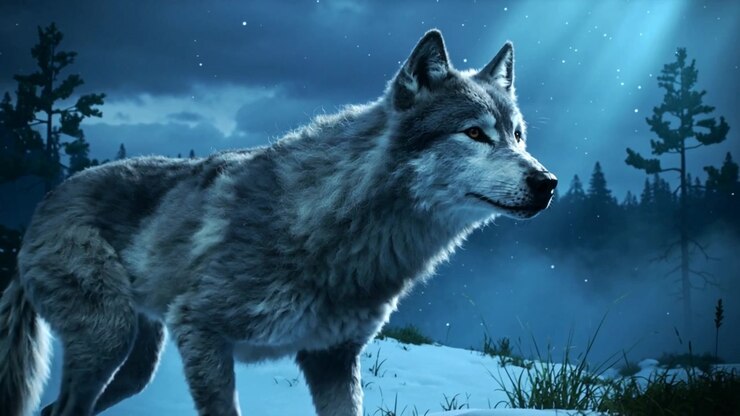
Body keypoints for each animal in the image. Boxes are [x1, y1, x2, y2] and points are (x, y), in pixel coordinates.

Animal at [0, 30, 556, 416]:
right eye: (475, 134)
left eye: (518, 136)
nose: (547, 182)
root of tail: (45, 203)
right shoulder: (201, 332)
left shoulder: (332, 358)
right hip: (110, 337)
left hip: (137, 360)